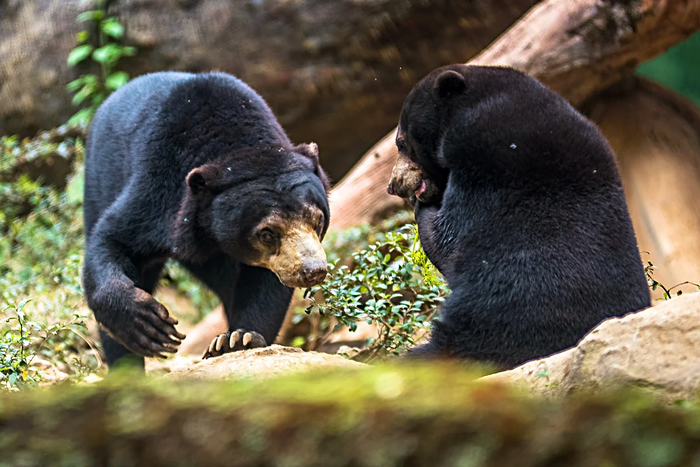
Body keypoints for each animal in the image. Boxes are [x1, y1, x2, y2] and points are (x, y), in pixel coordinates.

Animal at [83, 72, 330, 370]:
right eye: (267, 233)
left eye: (317, 220)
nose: (313, 270)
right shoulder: (159, 190)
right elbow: (112, 238)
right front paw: (148, 326)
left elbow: (265, 283)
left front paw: (237, 339)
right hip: (98, 181)